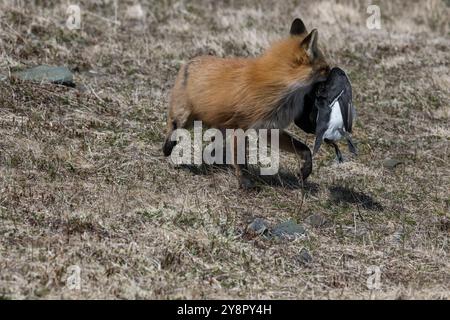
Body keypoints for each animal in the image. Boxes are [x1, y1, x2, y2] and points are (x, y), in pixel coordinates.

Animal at [163, 18, 328, 188]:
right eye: (326, 69)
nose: (335, 77)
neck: (279, 88)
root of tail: (189, 61)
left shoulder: (269, 128)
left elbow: (305, 149)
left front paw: (305, 171)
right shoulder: (241, 127)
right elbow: (241, 161)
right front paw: (245, 183)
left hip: (221, 128)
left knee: (210, 147)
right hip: (184, 118)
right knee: (173, 129)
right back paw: (169, 150)